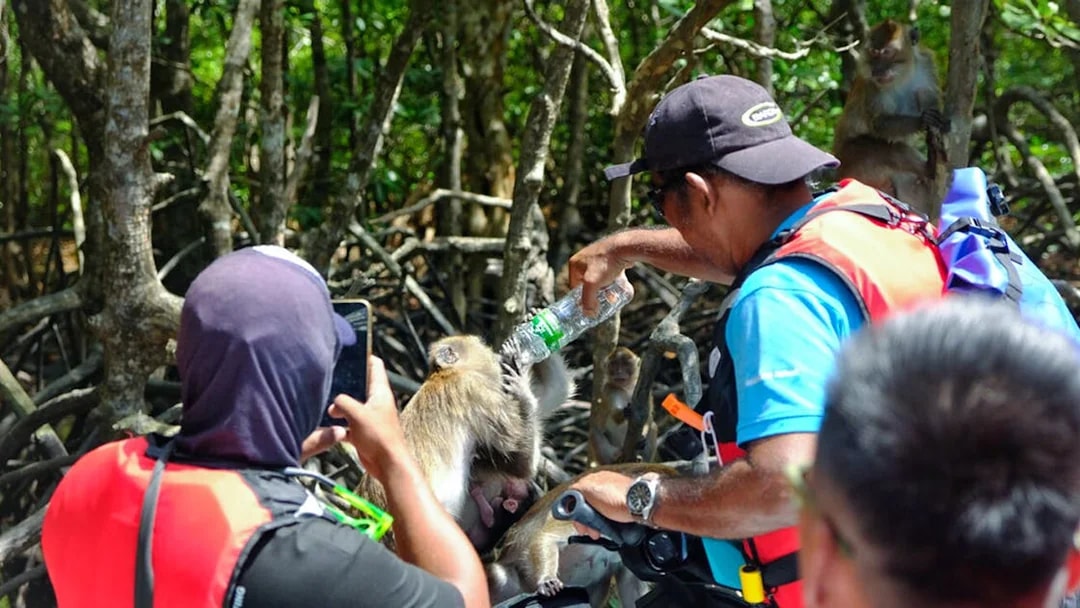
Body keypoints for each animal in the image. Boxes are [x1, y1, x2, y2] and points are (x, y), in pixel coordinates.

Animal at [356, 335, 573, 551]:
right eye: (483, 344)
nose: (496, 354)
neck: (445, 375)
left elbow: (553, 394)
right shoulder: (474, 390)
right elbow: (521, 464)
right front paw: (521, 387)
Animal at [833, 19, 950, 216]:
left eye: (887, 52)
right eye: (874, 52)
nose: (877, 70)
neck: (902, 75)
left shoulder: (925, 65)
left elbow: (928, 96)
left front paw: (940, 123)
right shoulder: (871, 83)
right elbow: (878, 123)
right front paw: (922, 121)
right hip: (853, 159)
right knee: (884, 149)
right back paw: (929, 168)